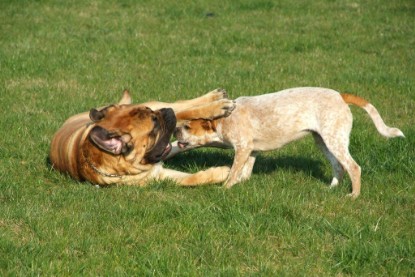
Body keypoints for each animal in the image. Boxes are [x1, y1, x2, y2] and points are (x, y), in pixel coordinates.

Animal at [49, 88, 234, 187]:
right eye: (154, 128)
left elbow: (189, 110)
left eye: (151, 113)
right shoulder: (159, 177)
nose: (166, 113)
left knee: (184, 106)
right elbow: (191, 178)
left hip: (159, 104)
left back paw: (216, 100)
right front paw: (222, 172)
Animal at [174, 86, 404, 196]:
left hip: (334, 140)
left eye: (187, 127)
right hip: (324, 142)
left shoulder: (242, 148)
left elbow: (233, 173)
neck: (224, 119)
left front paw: (224, 189)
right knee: (338, 167)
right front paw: (240, 182)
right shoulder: (251, 151)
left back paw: (354, 195)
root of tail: (340, 95)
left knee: (354, 167)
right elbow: (244, 173)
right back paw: (331, 188)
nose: (175, 129)